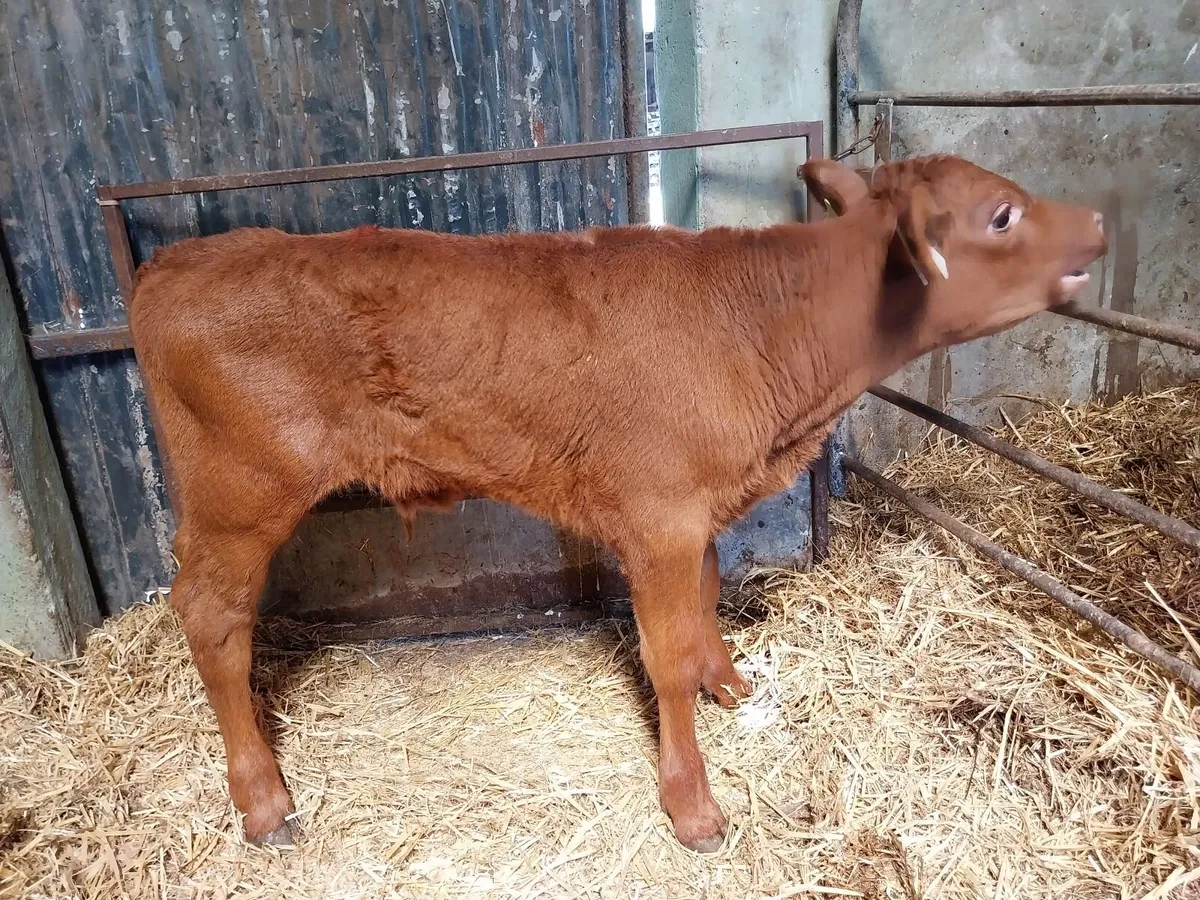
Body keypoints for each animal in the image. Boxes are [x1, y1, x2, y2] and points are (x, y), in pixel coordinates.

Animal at [128, 155, 1107, 853]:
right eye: (1001, 215)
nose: (1098, 220)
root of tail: (177, 262)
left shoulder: (696, 509)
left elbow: (708, 600)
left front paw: (730, 685)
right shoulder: (659, 514)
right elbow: (663, 656)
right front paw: (693, 805)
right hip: (241, 494)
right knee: (211, 618)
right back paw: (265, 803)